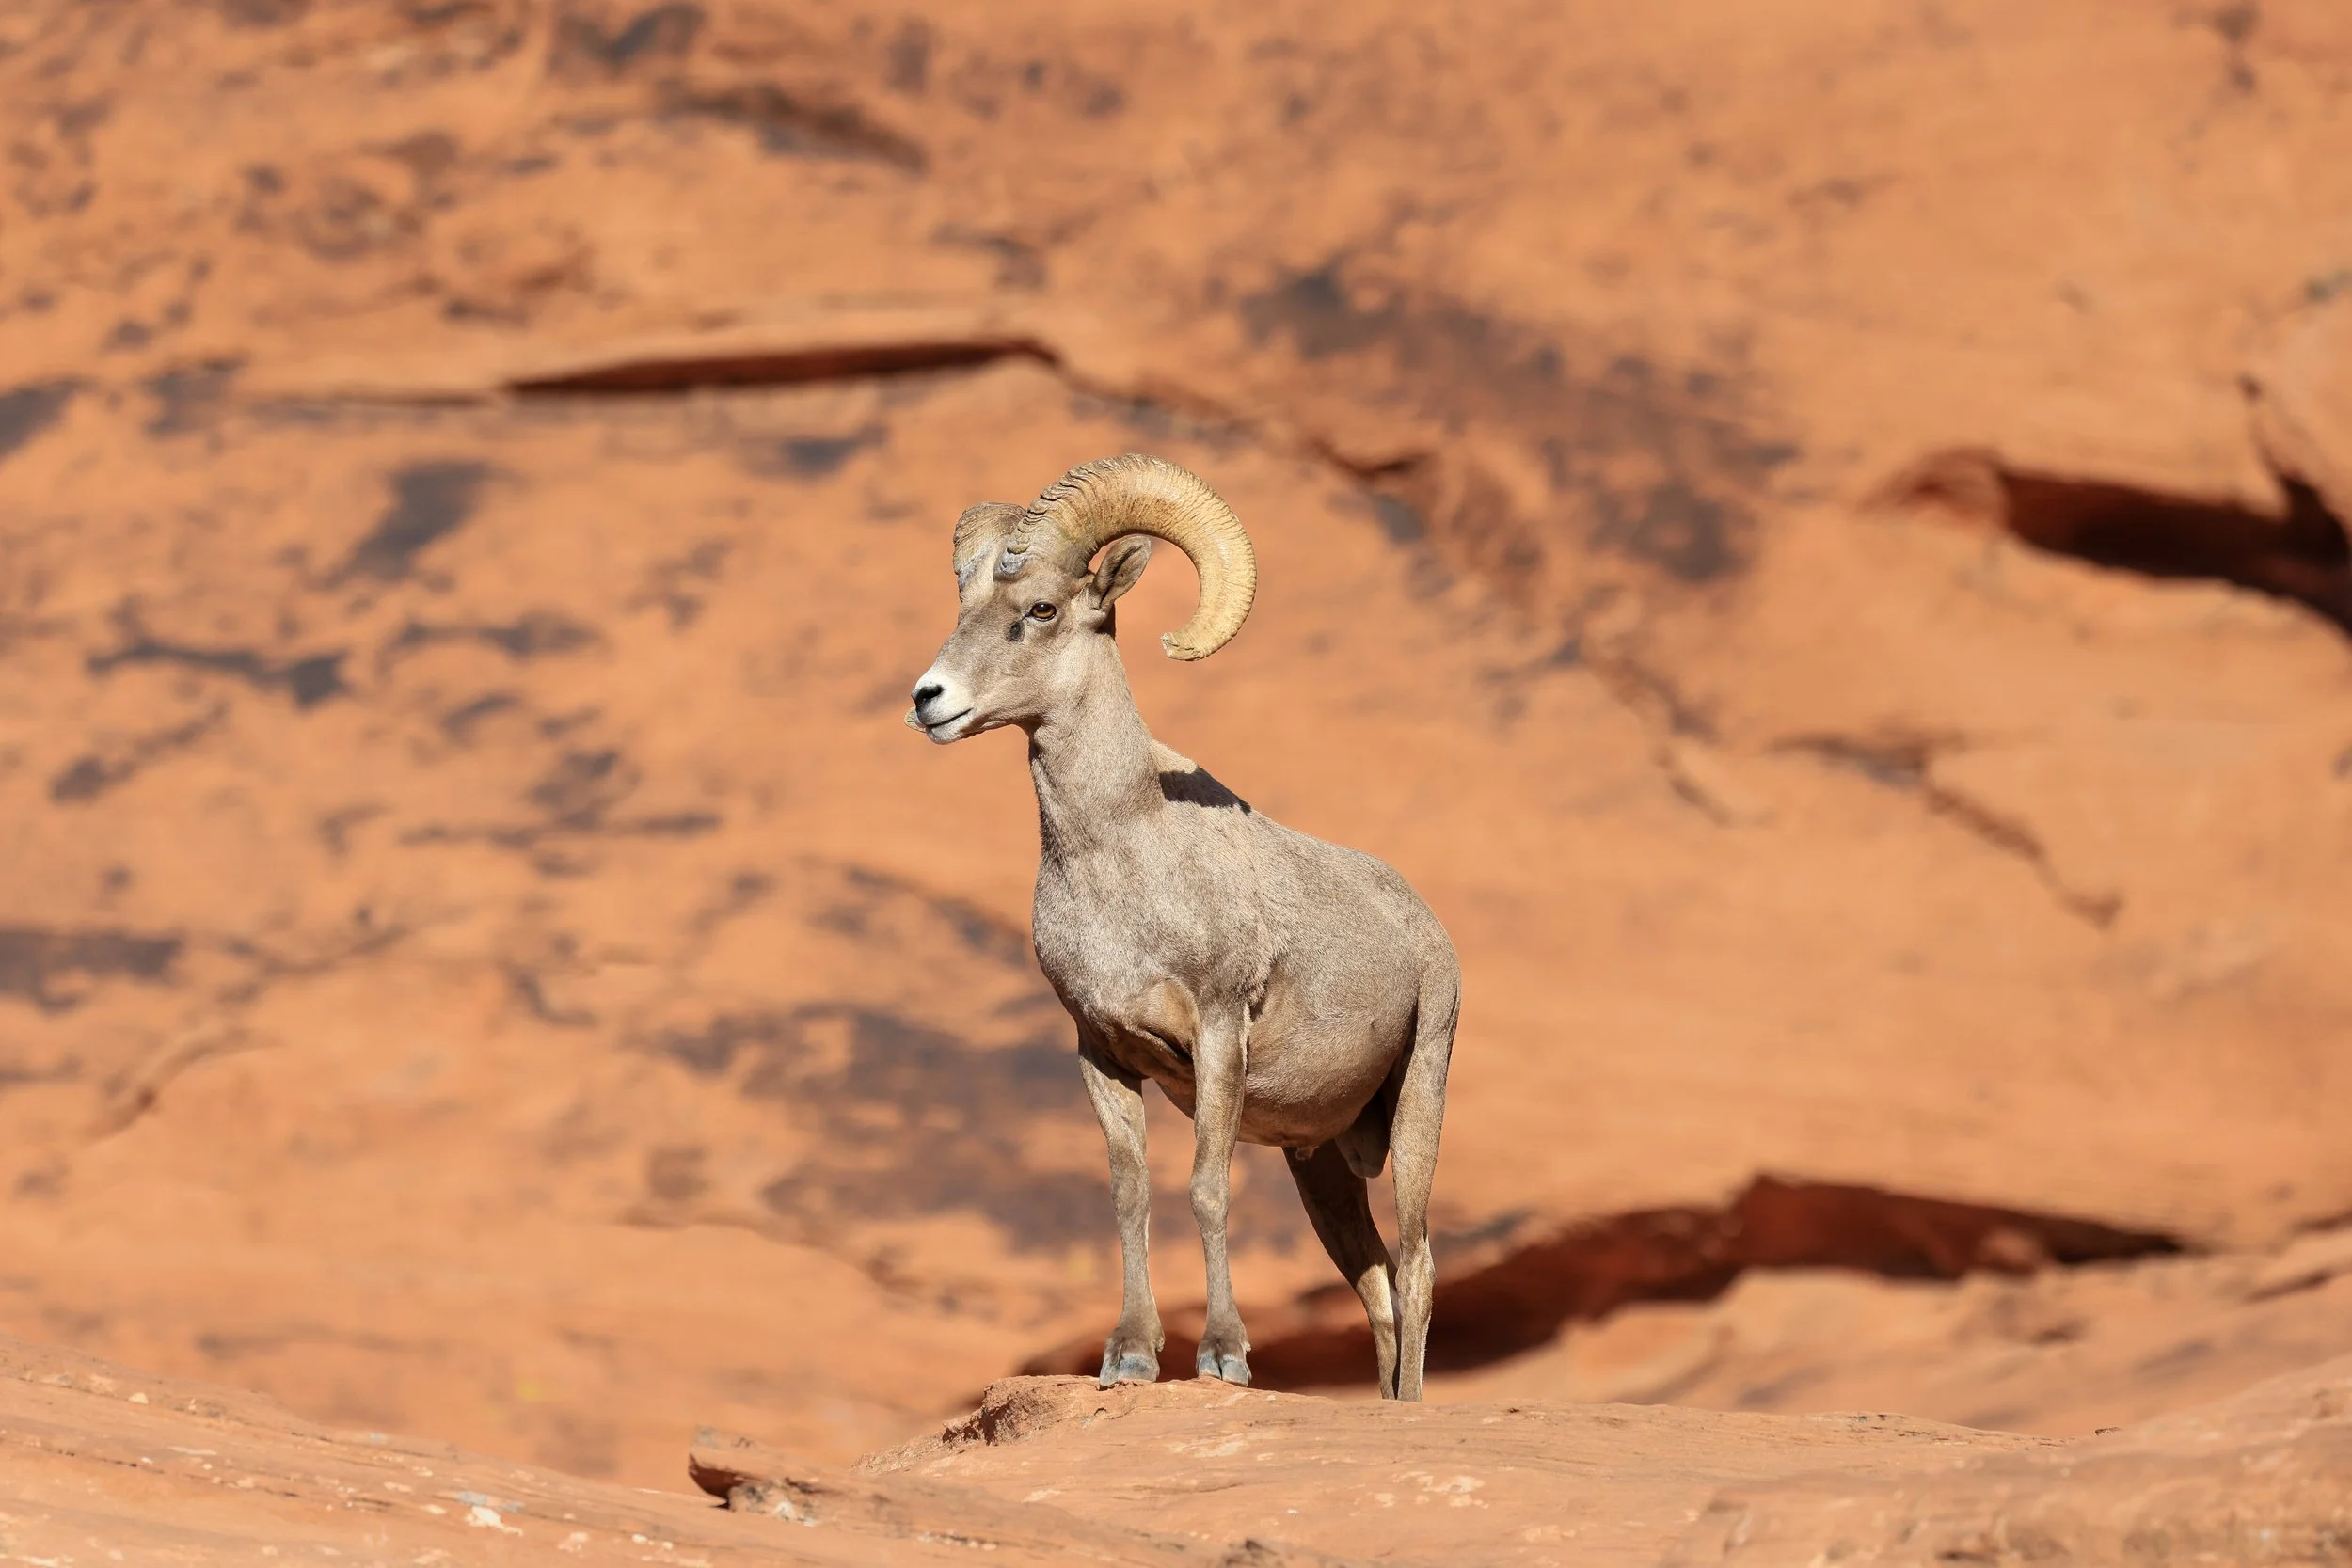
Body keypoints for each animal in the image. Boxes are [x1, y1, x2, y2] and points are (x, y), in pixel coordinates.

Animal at [905, 453, 1460, 1400]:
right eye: (964, 603)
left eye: (1041, 609)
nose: (928, 699)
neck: (1122, 856)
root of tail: (1429, 933)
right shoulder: (1099, 1050)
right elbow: (1131, 1193)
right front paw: (1128, 1357)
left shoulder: (1217, 1034)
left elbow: (1205, 1187)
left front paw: (1224, 1357)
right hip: (1318, 1159)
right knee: (1379, 1283)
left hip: (1420, 1094)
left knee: (1417, 1265)